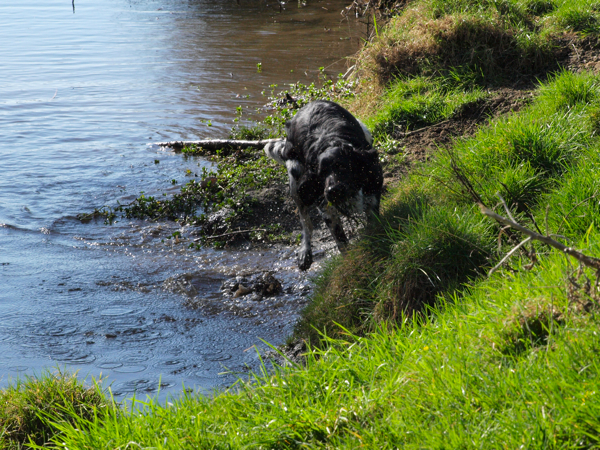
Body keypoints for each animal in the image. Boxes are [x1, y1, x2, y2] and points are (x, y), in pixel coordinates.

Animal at [264, 100, 384, 268]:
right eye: (321, 174)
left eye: (342, 166)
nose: (332, 190)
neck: (329, 142)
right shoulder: (325, 206)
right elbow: (340, 240)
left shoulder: (372, 187)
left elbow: (373, 221)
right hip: (295, 179)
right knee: (306, 223)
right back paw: (305, 251)